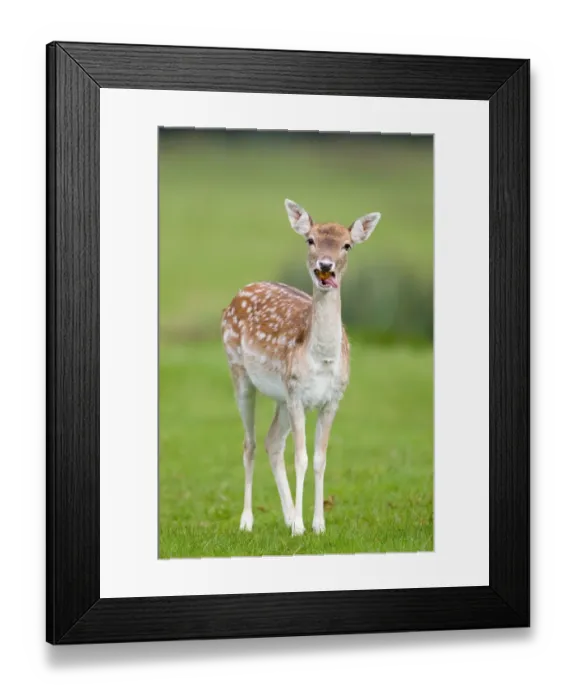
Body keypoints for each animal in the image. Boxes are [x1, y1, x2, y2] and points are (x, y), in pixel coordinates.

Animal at [221, 199, 381, 536]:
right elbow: (301, 458)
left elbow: (319, 459)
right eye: (310, 240)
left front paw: (317, 525)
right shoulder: (296, 392)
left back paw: (288, 515)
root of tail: (237, 295)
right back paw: (247, 521)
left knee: (271, 442)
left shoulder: (332, 398)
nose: (325, 265)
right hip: (239, 371)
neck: (321, 359)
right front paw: (299, 528)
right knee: (250, 442)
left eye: (347, 244)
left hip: (280, 397)